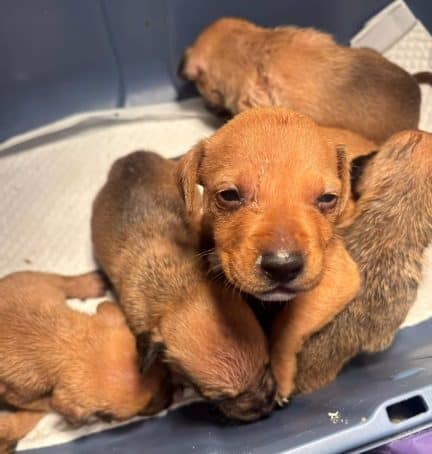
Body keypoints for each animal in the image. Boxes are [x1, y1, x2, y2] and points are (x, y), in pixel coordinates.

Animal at [0, 270, 170, 447]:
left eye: (166, 376)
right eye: (141, 411)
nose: (169, 402)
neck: (66, 342)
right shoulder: (19, 395)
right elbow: (46, 404)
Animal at [176, 107, 361, 402]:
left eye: (328, 199)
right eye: (228, 195)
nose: (282, 267)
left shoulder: (337, 278)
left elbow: (288, 328)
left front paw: (281, 377)